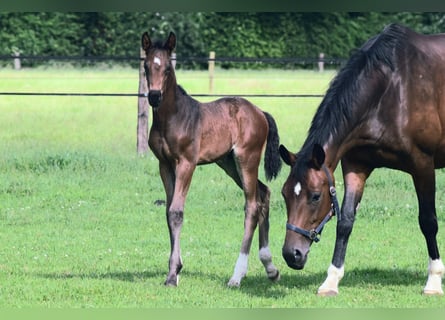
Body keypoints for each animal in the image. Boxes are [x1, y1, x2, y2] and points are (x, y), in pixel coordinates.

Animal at [280, 23, 444, 296]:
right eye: (284, 194)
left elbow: (428, 221)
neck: (392, 88)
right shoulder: (356, 166)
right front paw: (331, 280)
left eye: (315, 196)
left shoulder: (423, 165)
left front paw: (433, 280)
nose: (292, 254)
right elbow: (345, 221)